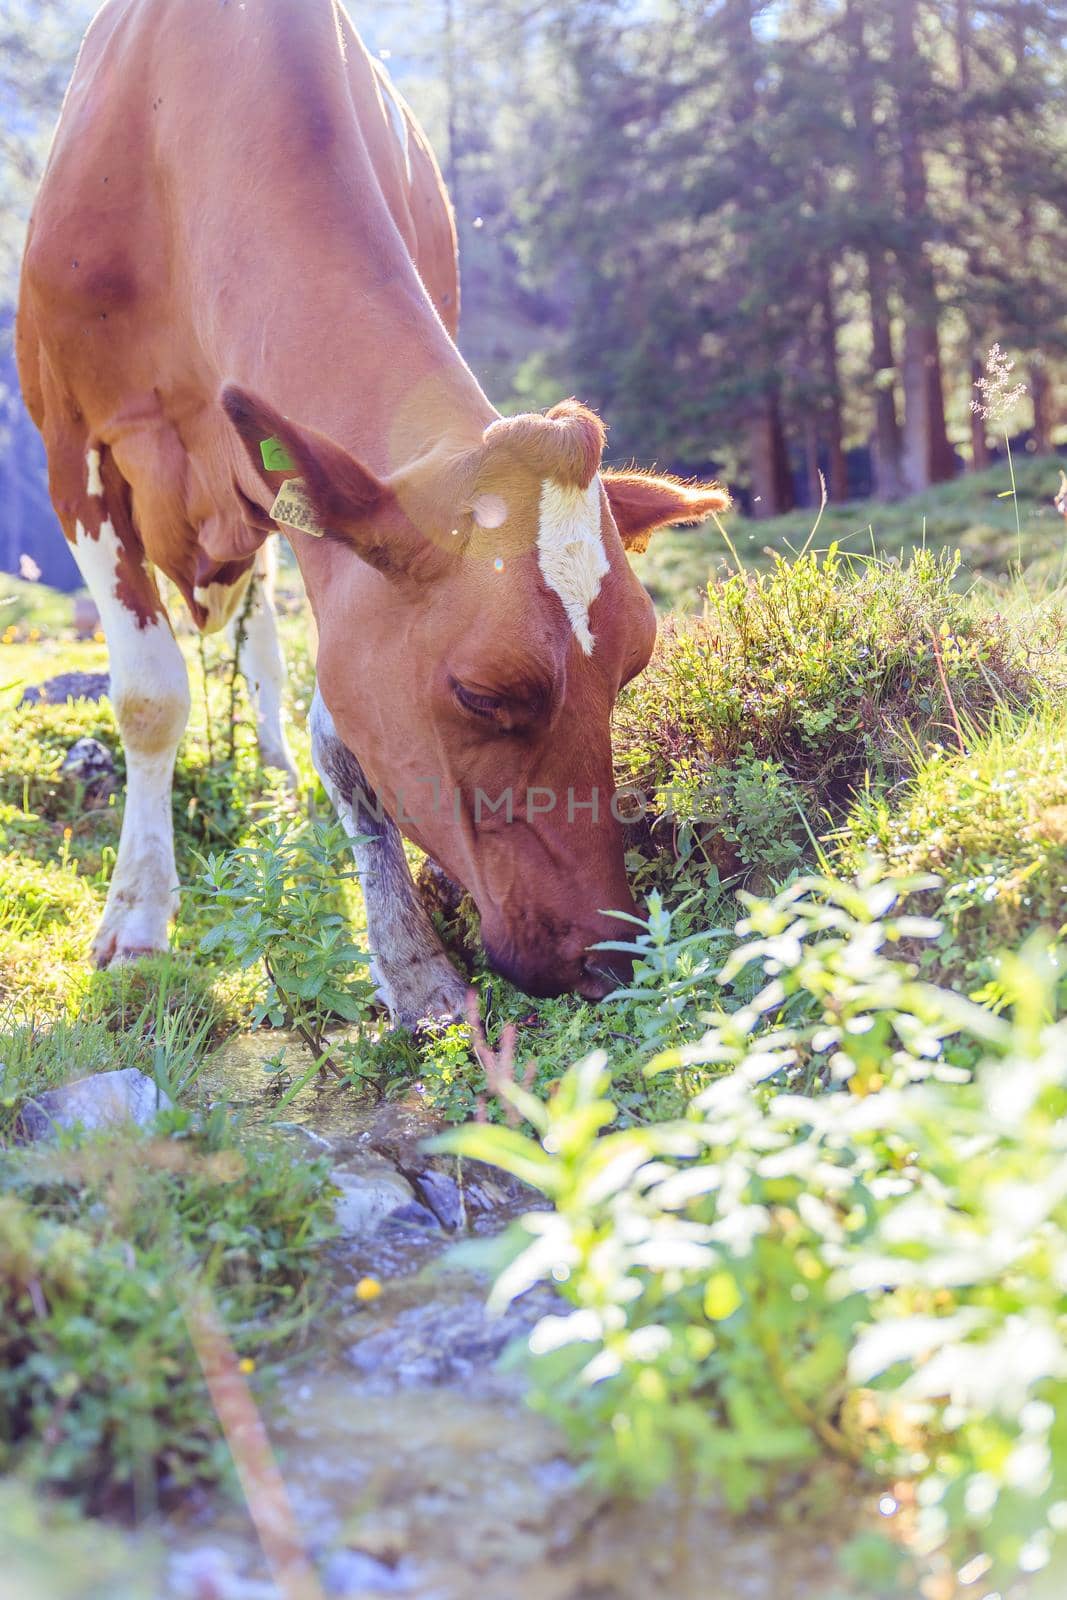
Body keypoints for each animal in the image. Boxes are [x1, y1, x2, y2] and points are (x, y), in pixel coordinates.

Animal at [20, 0, 729, 1024]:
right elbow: (151, 698)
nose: (608, 957)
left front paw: (410, 963)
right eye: (482, 693)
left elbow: (338, 731)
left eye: (632, 669)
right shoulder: (71, 447)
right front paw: (140, 919)